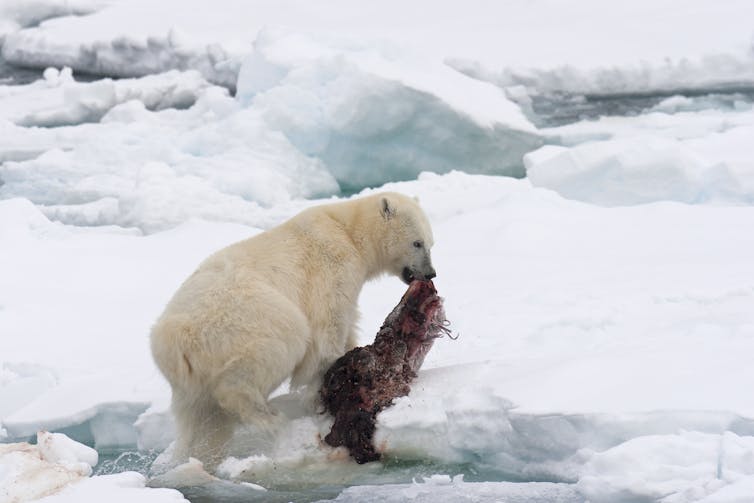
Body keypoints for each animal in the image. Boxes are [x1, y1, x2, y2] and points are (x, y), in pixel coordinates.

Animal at [150, 191, 432, 470]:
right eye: (417, 243)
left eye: (431, 242)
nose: (431, 273)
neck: (347, 230)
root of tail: (174, 339)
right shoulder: (333, 265)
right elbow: (328, 325)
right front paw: (325, 385)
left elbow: (349, 321)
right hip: (247, 318)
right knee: (275, 348)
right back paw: (270, 418)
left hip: (189, 380)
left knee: (201, 421)